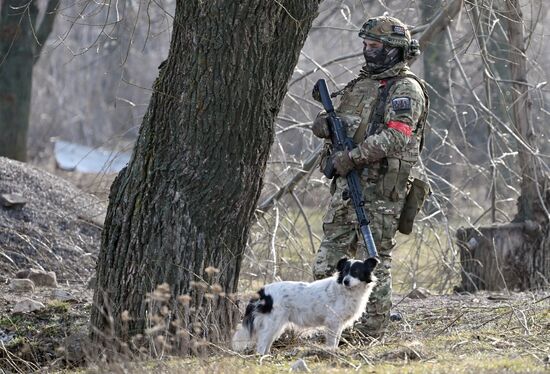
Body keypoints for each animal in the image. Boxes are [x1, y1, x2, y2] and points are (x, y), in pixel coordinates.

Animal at [233, 258, 380, 354]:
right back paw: (260, 358)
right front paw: (331, 352)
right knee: (261, 343)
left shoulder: (338, 323)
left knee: (267, 342)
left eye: (356, 272)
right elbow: (332, 341)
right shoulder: (333, 321)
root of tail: (262, 292)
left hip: (277, 325)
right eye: (344, 271)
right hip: (273, 323)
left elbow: (337, 339)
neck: (347, 291)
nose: (345, 281)